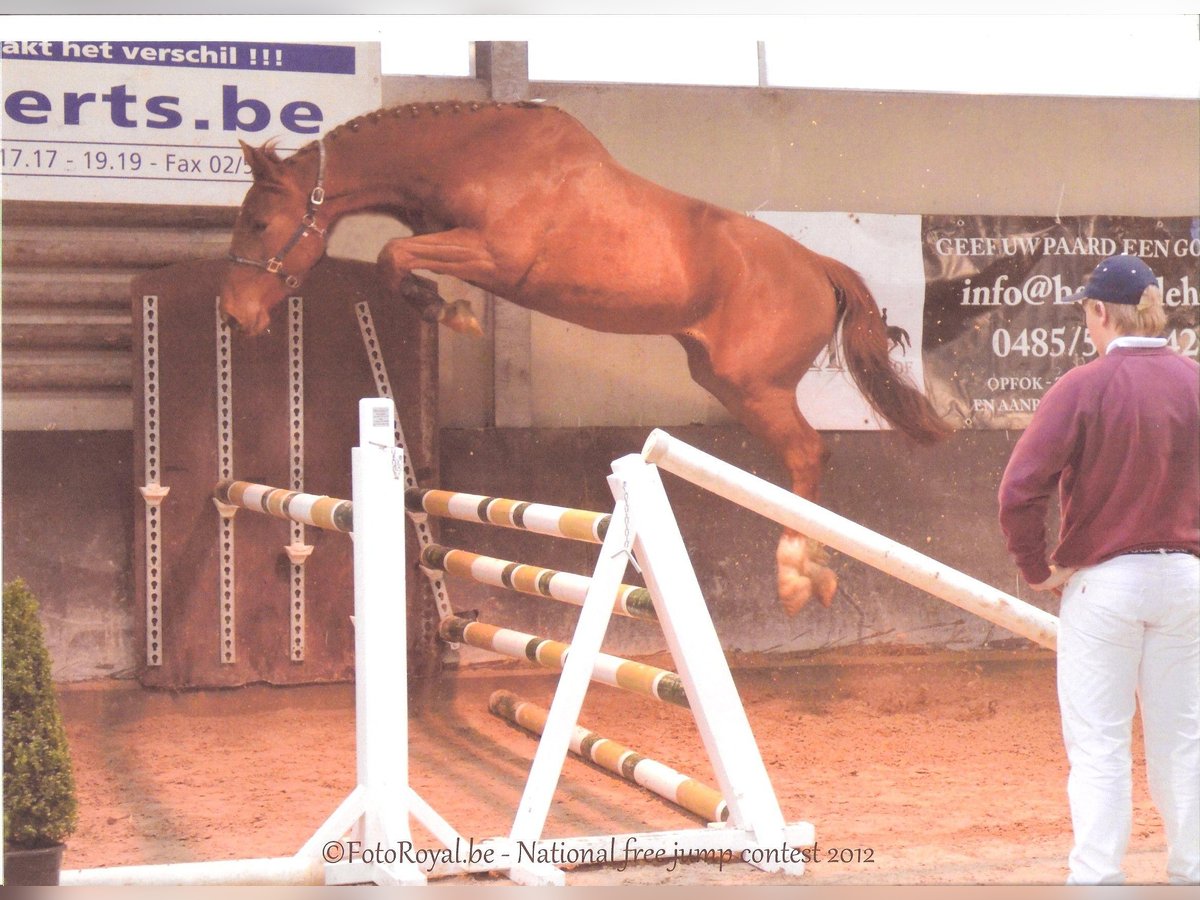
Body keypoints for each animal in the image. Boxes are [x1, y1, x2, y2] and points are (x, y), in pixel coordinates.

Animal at [216, 102, 945, 619]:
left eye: (258, 222)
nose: (233, 314)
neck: (470, 154)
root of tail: (819, 265)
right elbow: (398, 257)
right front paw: (445, 307)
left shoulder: (493, 255)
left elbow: (394, 257)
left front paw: (451, 312)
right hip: (726, 379)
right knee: (806, 458)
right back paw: (811, 571)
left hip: (753, 386)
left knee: (808, 454)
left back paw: (795, 574)